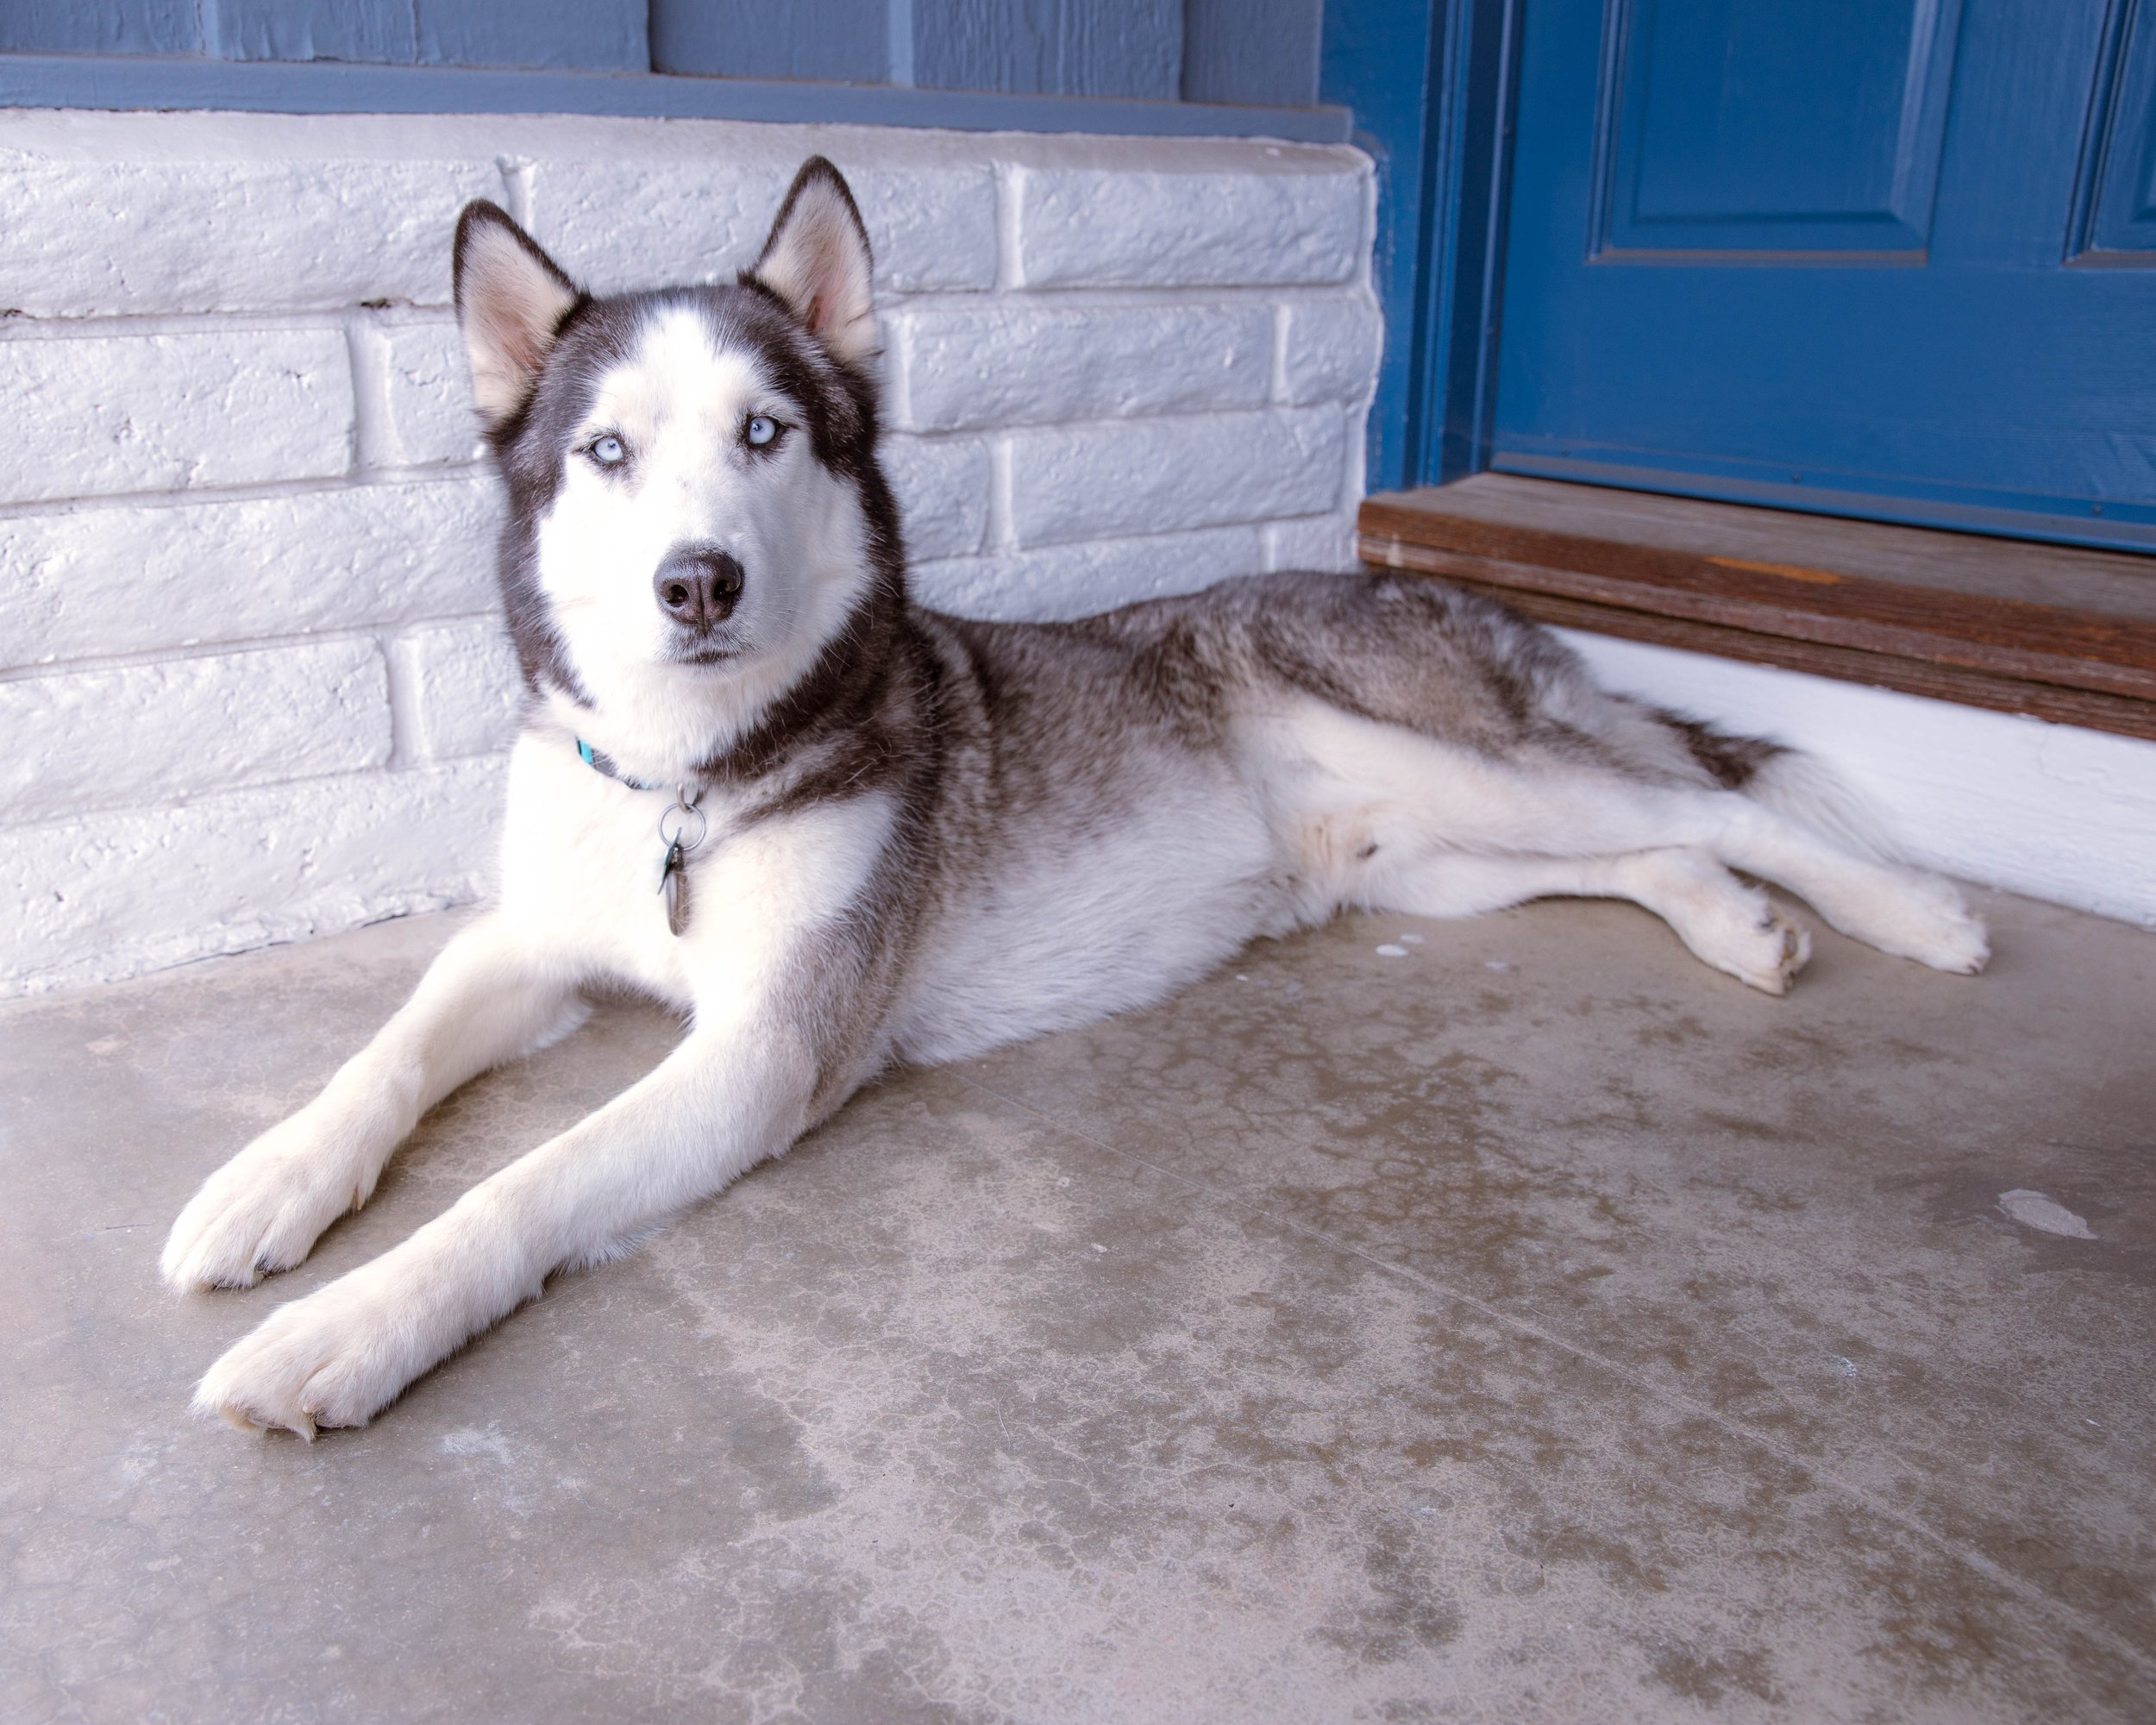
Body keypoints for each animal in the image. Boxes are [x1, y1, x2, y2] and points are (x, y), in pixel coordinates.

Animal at [161, 158, 1988, 1436]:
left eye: (766, 434)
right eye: (604, 452)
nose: (698, 582)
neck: (693, 783)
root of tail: (1432, 591)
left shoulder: (763, 1056)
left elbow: (518, 1185)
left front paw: (346, 1326)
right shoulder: (532, 939)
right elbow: (388, 1052)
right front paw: (265, 1185)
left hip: (1436, 754)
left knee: (1725, 807)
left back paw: (1914, 911)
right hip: (1422, 864)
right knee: (1655, 843)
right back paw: (1740, 930)